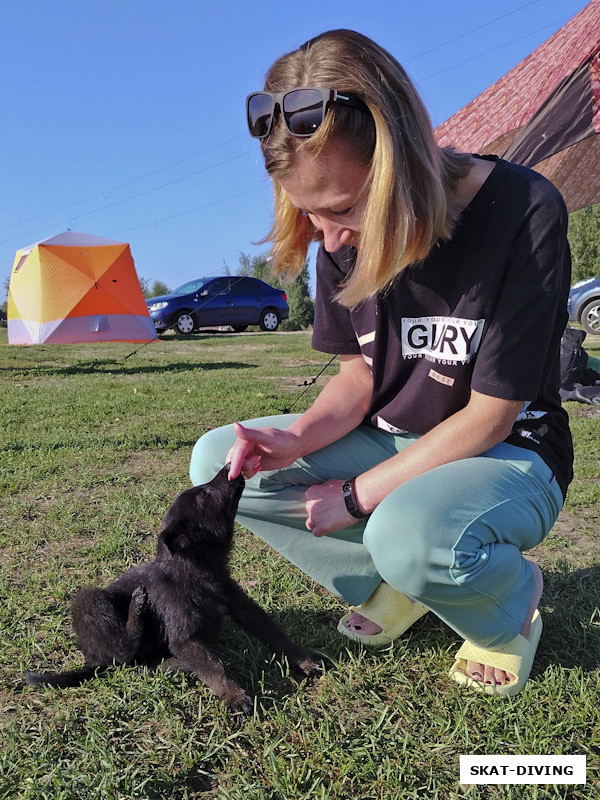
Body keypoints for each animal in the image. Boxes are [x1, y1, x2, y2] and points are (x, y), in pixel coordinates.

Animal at [25, 462, 322, 720]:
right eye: (204, 494)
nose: (229, 466)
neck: (196, 569)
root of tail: (91, 659)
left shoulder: (243, 607)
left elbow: (274, 634)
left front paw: (304, 660)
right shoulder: (184, 637)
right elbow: (215, 668)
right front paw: (234, 696)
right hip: (90, 599)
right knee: (123, 656)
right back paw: (138, 612)